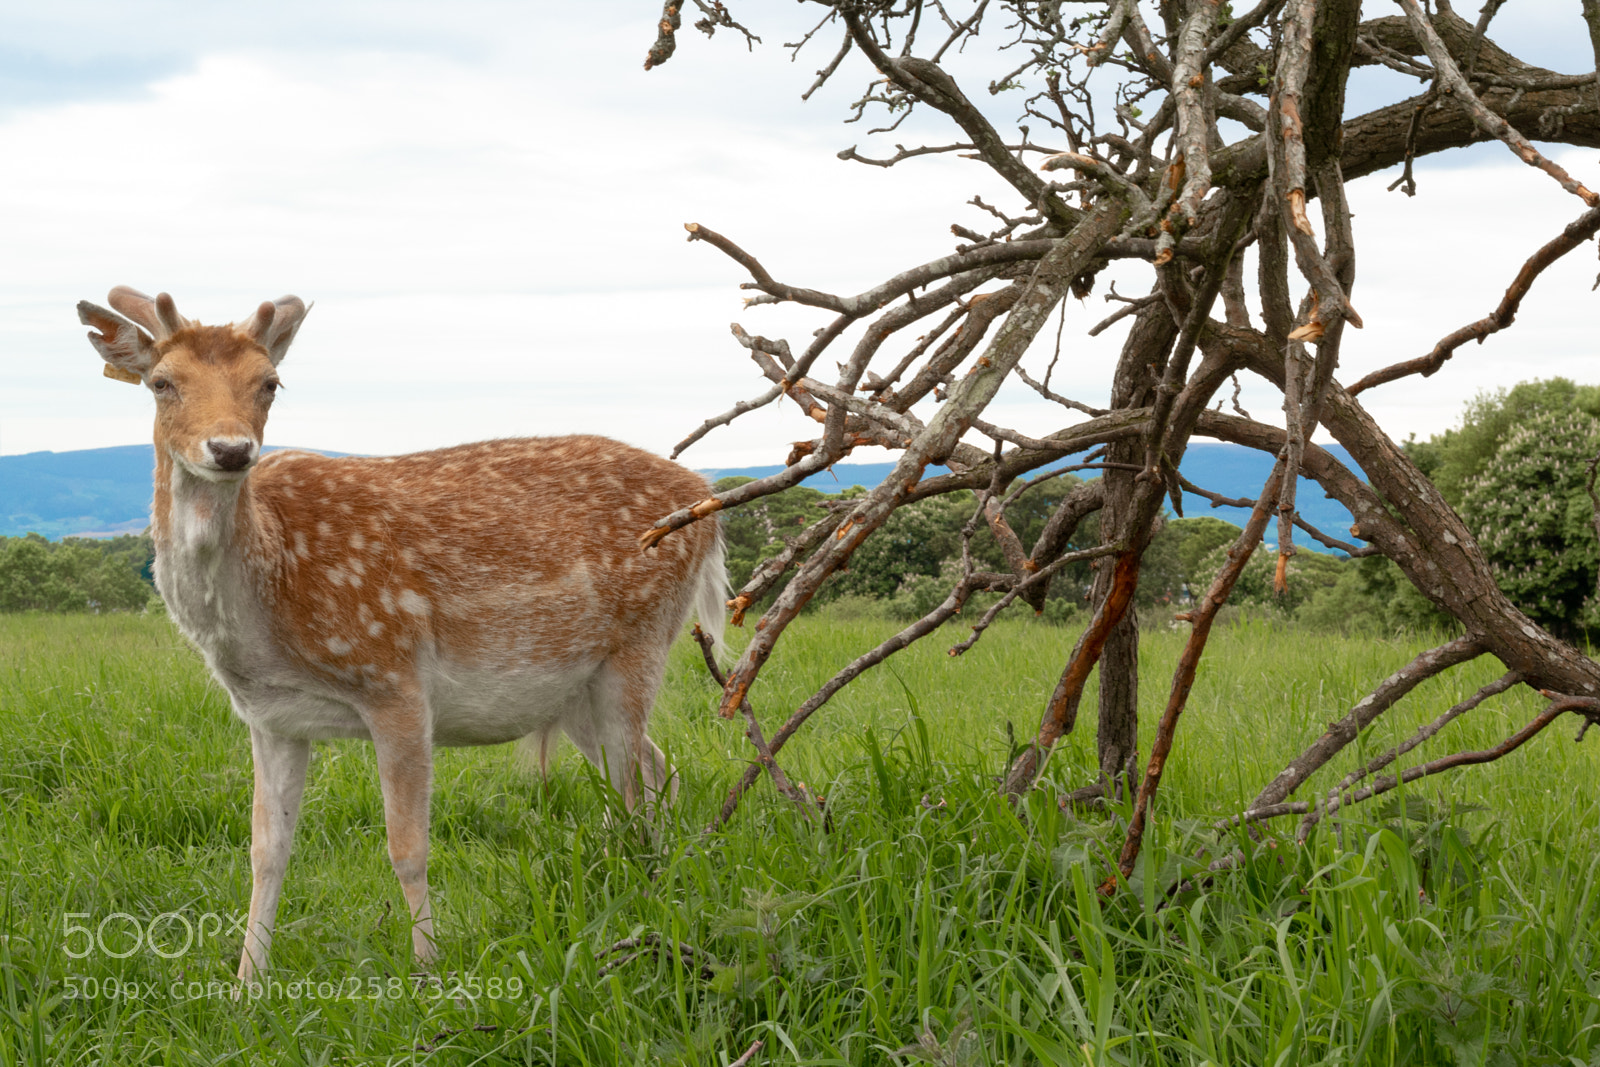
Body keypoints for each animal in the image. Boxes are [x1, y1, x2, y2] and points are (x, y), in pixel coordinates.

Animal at [76, 287, 726, 983]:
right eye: (161, 382)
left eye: (270, 382)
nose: (229, 449)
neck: (269, 606)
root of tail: (707, 499)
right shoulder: (271, 717)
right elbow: (265, 851)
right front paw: (247, 985)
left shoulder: (395, 678)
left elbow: (407, 848)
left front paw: (427, 975)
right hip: (576, 689)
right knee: (657, 773)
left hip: (642, 639)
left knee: (633, 788)